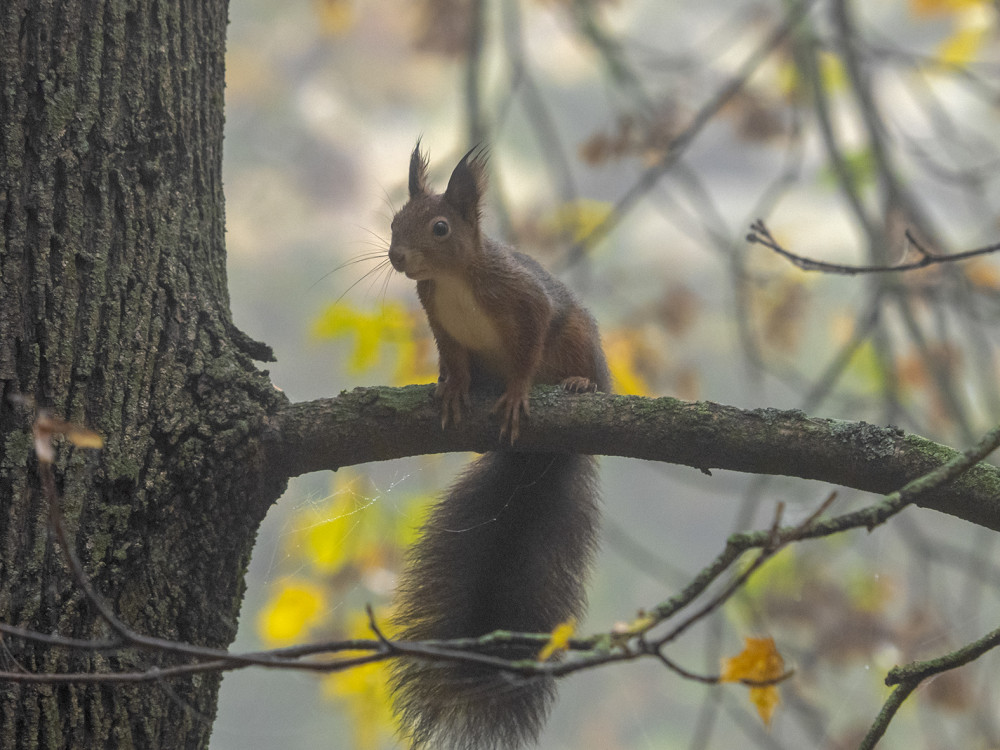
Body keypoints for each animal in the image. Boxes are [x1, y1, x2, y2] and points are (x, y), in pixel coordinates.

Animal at [386, 142, 608, 750]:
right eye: (393, 221)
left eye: (440, 228)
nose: (396, 257)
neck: (454, 278)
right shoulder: (440, 322)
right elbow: (453, 359)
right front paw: (453, 391)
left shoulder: (524, 301)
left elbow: (529, 349)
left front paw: (514, 395)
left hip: (579, 338)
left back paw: (578, 386)